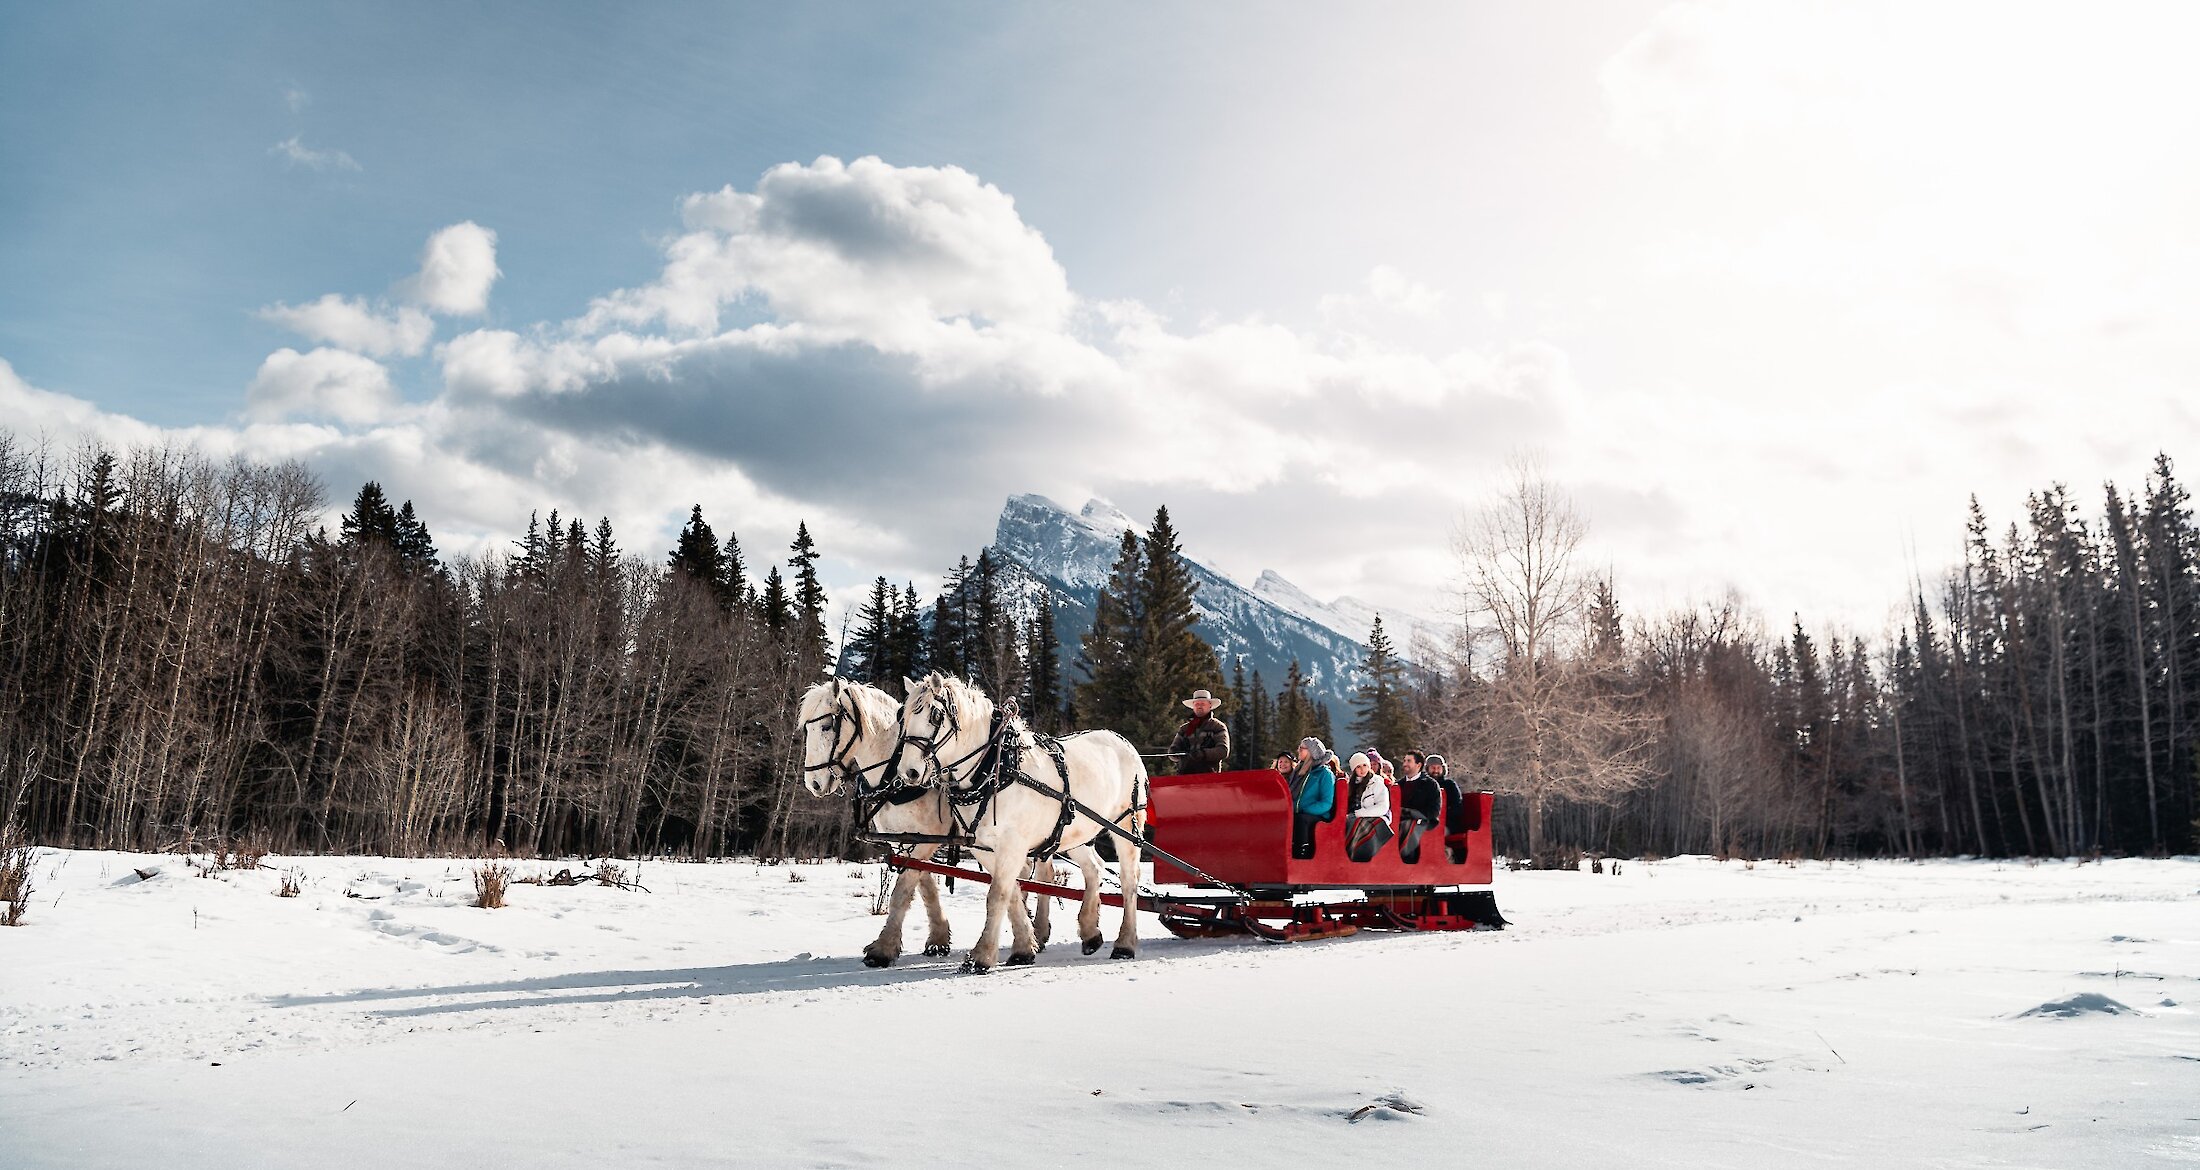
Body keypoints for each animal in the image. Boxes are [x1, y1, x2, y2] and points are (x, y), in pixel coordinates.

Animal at [800, 681, 1091, 963]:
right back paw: (1037, 931)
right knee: (1040, 873)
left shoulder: (927, 839)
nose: (813, 783)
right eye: (807, 729)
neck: (894, 777)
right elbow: (925, 886)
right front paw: (938, 938)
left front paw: (883, 949)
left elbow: (904, 889)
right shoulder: (906, 840)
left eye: (827, 725)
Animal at [888, 672, 1152, 972]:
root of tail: (1124, 742)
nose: (909, 772)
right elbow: (1012, 892)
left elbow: (997, 895)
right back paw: (1089, 932)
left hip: (1127, 826)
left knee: (1129, 881)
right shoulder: (985, 848)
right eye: (903, 716)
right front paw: (1024, 948)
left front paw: (981, 956)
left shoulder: (1012, 846)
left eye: (934, 715)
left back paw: (1125, 944)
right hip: (1073, 833)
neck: (995, 770)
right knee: (1094, 869)